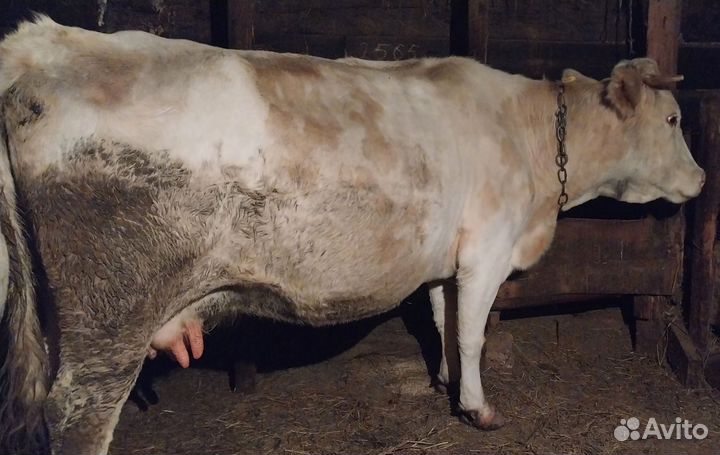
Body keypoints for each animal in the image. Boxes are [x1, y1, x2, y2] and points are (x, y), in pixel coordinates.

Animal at [0, 16, 704, 455]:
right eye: (673, 118)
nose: (700, 179)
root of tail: (46, 43)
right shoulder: (488, 248)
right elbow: (473, 333)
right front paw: (479, 409)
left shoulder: (444, 259)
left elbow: (444, 319)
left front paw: (447, 385)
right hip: (110, 320)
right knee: (79, 415)